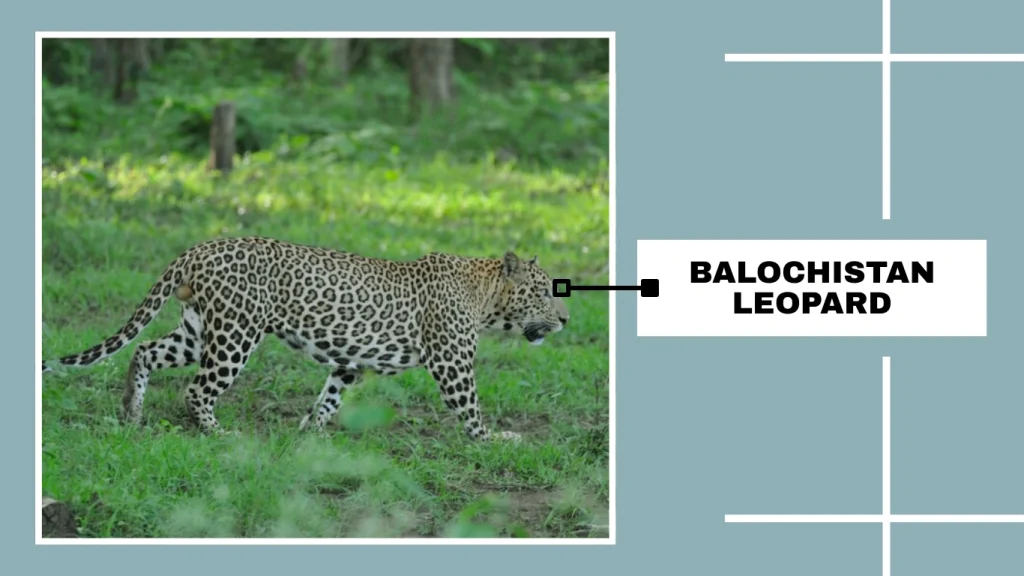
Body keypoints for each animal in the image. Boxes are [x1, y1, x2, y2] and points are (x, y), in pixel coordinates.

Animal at [41, 236, 569, 442]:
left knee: (145, 351)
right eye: (545, 291)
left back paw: (131, 413)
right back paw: (217, 432)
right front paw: (495, 440)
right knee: (196, 389)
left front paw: (311, 435)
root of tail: (201, 246)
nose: (565, 320)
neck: (485, 298)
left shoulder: (348, 361)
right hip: (235, 335)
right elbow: (472, 408)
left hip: (197, 328)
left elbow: (329, 397)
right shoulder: (452, 363)